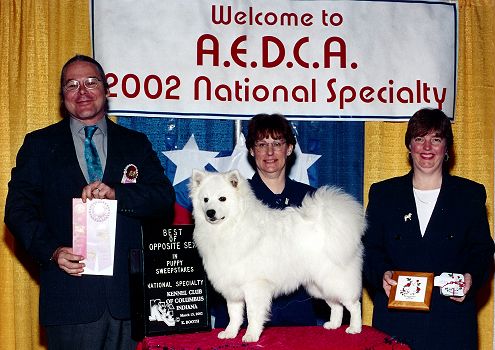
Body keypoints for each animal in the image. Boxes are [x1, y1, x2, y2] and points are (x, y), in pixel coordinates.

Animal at [188, 170, 366, 342]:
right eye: (205, 199)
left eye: (222, 199)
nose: (210, 212)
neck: (231, 227)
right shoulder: (232, 287)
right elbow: (234, 315)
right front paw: (230, 333)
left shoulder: (254, 286)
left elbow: (253, 314)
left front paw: (251, 335)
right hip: (319, 285)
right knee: (336, 305)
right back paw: (334, 325)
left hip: (334, 280)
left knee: (354, 305)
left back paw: (355, 328)